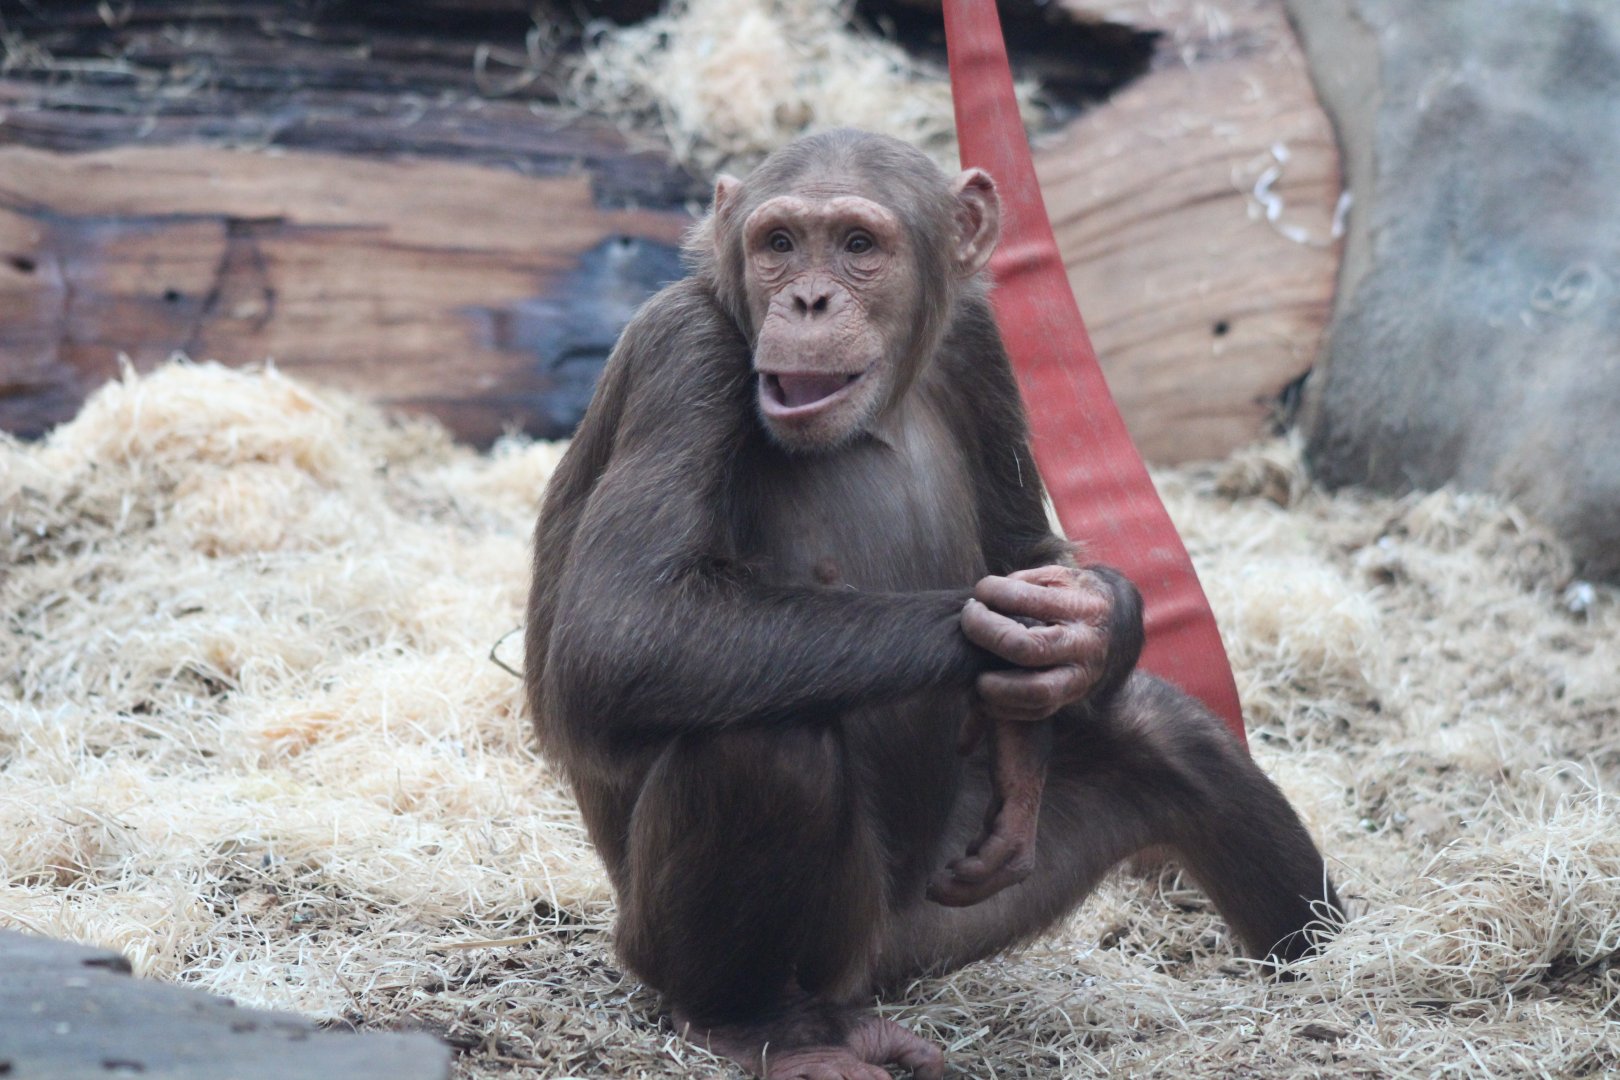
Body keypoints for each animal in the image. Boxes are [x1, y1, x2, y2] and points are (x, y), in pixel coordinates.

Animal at [525, 129, 1342, 1080]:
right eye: (778, 244)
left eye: (857, 245)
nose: (807, 298)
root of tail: (867, 983)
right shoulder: (680, 353)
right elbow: (623, 630)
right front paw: (1013, 638)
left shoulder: (979, 343)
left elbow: (1019, 540)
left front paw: (1089, 637)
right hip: (755, 941)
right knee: (761, 746)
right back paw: (758, 1027)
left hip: (937, 929)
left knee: (1175, 740)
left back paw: (1337, 975)